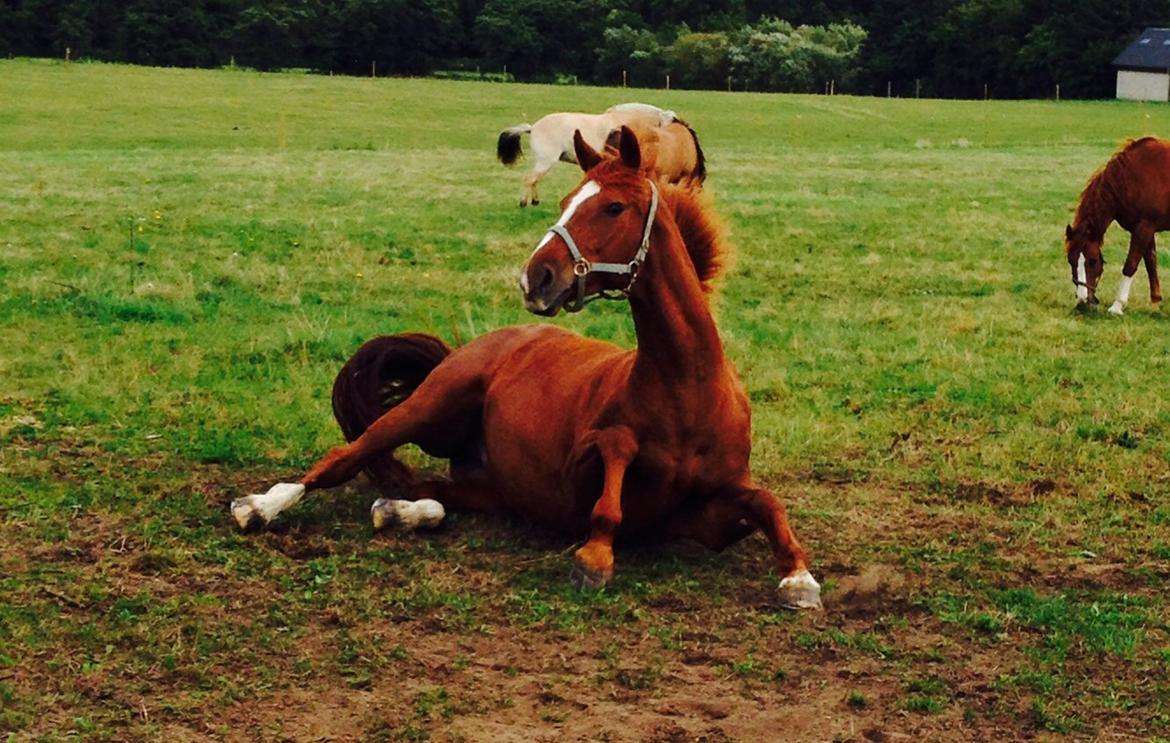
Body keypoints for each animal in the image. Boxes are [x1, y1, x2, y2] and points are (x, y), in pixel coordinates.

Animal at [232, 123, 823, 608]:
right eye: (563, 199)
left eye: (613, 208)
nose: (534, 278)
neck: (687, 390)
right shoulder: (576, 472)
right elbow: (614, 463)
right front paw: (594, 558)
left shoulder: (704, 514)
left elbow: (767, 503)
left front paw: (799, 578)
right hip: (430, 407)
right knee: (345, 458)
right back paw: (259, 507)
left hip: (488, 481)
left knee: (428, 490)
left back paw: (400, 511)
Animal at [1067, 137, 1170, 313]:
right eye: (1070, 261)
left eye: (1093, 261)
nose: (1082, 302)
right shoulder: (1146, 229)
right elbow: (1151, 262)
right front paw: (1156, 301)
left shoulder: (1144, 227)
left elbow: (1130, 265)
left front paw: (1117, 305)